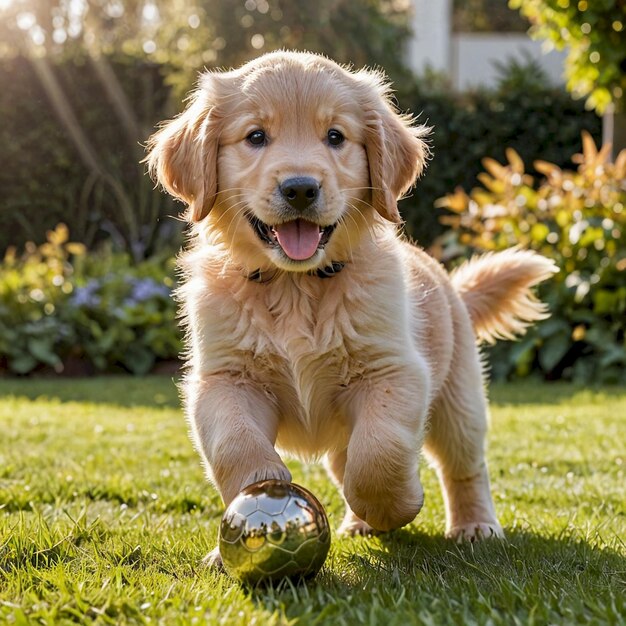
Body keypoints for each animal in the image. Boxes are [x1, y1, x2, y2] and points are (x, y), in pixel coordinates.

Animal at [147, 51, 556, 560]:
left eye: (336, 137)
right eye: (256, 136)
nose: (300, 188)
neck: (297, 285)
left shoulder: (394, 370)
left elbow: (379, 452)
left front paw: (398, 504)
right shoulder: (223, 379)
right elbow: (235, 446)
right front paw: (243, 526)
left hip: (459, 400)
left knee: (463, 466)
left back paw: (474, 525)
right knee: (345, 461)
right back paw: (359, 523)